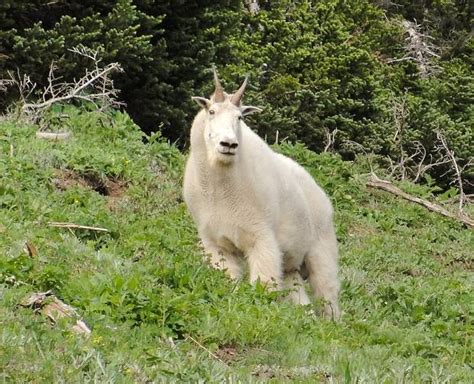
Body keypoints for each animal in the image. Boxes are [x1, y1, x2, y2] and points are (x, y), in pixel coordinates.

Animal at [181, 70, 340, 320]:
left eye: (239, 118)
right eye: (212, 112)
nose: (228, 144)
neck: (220, 188)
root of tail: (322, 194)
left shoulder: (261, 237)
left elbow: (264, 283)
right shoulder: (216, 244)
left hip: (322, 249)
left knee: (328, 293)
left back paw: (331, 324)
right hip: (292, 267)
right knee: (298, 293)